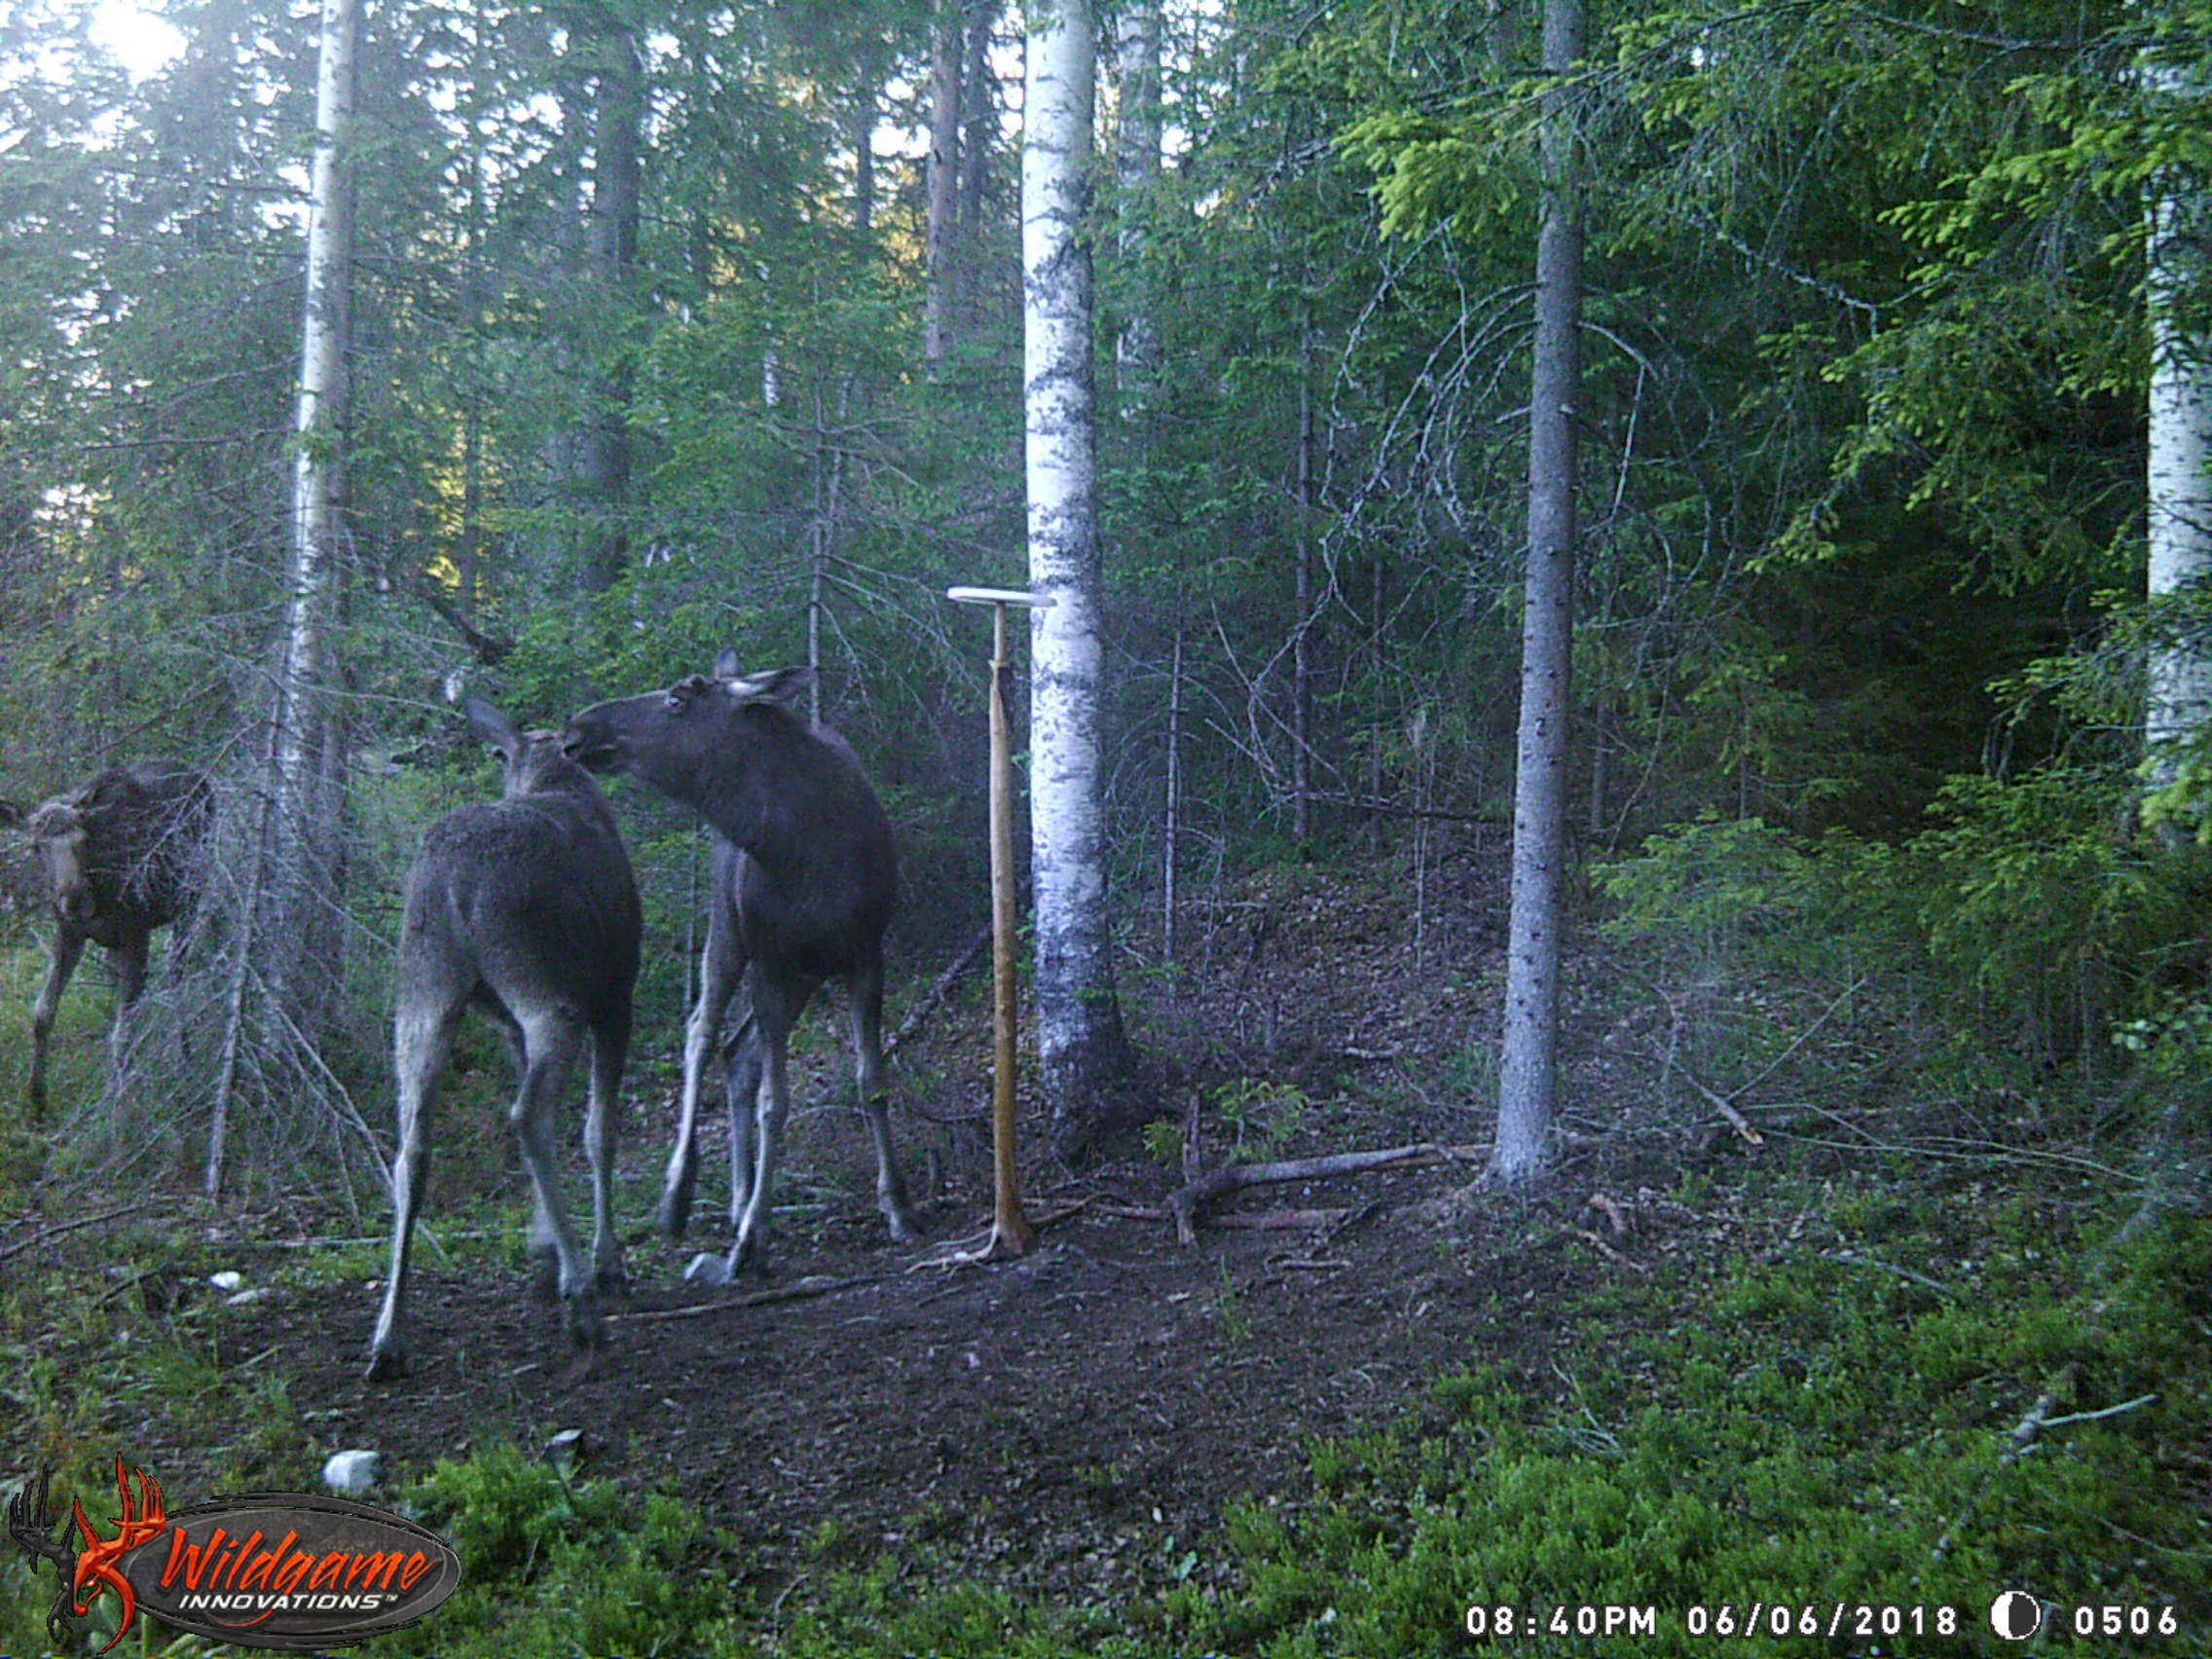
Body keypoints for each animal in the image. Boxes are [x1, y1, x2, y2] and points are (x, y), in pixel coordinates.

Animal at [5, 761, 212, 1116]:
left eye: (83, 840)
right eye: (37, 847)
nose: (76, 901)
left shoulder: (135, 934)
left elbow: (123, 1035)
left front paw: (118, 1106)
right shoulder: (69, 931)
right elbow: (42, 1013)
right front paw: (37, 1097)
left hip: (189, 902)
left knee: (176, 977)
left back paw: (184, 1058)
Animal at [367, 700, 642, 1381]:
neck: (548, 773)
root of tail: (454, 887)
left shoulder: (505, 1025)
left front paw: (544, 1254)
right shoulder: (615, 994)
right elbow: (600, 1132)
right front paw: (603, 1261)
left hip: (423, 994)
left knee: (412, 1149)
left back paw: (388, 1336)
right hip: (545, 989)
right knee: (529, 1115)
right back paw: (584, 1305)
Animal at [561, 654, 919, 1283]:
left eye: (678, 699)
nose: (577, 729)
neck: (804, 849)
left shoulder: (863, 952)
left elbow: (870, 1082)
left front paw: (897, 1205)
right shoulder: (769, 960)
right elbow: (777, 1102)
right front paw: (752, 1236)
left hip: (804, 973)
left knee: (739, 1051)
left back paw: (738, 1197)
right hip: (729, 936)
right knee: (702, 1033)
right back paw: (682, 1194)